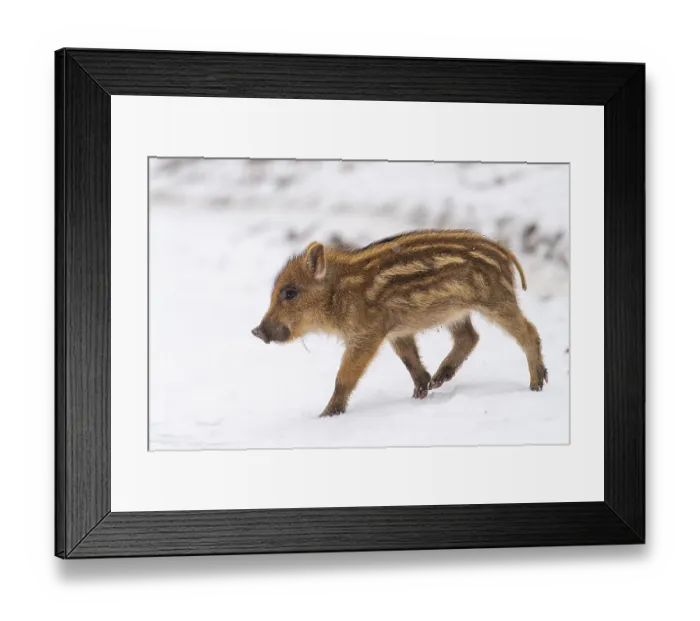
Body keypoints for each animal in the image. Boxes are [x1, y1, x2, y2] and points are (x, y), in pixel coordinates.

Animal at [252, 229, 548, 417]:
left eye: (290, 292)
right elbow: (410, 360)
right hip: (457, 312)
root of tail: (504, 252)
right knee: (469, 337)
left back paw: (536, 385)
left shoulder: (367, 334)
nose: (256, 331)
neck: (340, 291)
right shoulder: (395, 331)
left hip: (496, 302)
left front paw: (325, 415)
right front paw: (420, 393)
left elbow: (344, 377)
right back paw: (438, 380)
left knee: (528, 332)